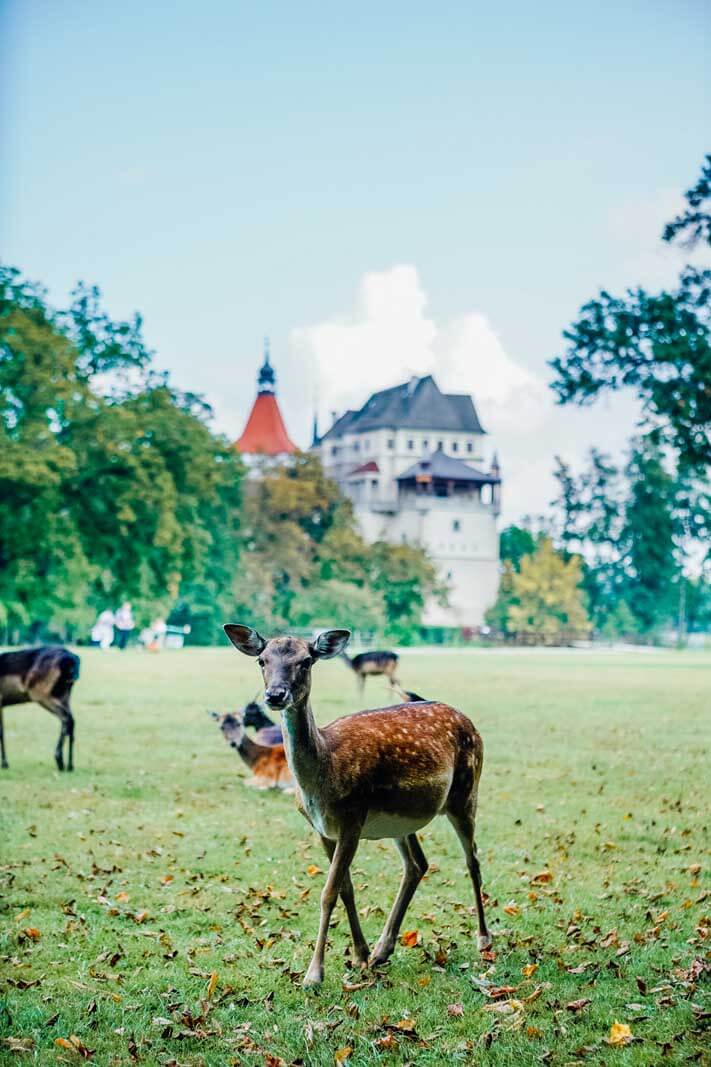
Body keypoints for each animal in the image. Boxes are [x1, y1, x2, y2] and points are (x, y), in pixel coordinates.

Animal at [0, 644, 80, 772]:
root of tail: (72, 660)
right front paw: (5, 764)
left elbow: (0, 732)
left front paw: (5, 764)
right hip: (64, 694)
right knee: (72, 720)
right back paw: (70, 766)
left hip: (40, 693)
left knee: (66, 718)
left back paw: (60, 761)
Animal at [224, 623, 491, 990]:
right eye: (262, 660)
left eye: (306, 661)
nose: (275, 695)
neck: (322, 776)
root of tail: (469, 721)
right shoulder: (323, 830)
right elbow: (346, 889)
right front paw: (360, 955)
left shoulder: (352, 818)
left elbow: (328, 892)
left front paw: (314, 974)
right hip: (402, 819)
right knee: (417, 864)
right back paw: (382, 950)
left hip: (466, 791)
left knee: (472, 857)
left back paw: (483, 939)